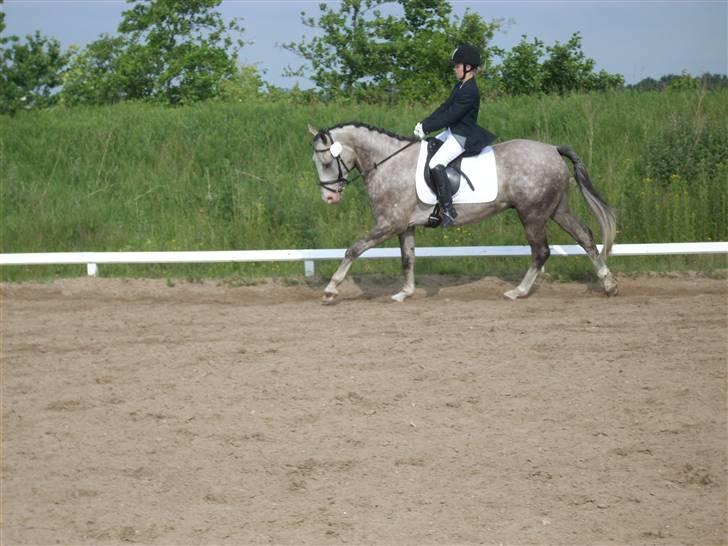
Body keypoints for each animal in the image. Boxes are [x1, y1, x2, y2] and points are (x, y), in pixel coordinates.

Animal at [310, 120, 616, 302]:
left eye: (326, 161)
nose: (329, 197)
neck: (388, 162)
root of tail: (553, 149)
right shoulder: (405, 225)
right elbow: (407, 258)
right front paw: (404, 293)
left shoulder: (389, 223)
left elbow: (354, 249)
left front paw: (331, 288)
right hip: (556, 208)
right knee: (585, 236)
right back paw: (609, 284)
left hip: (532, 214)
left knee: (541, 251)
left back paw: (517, 291)